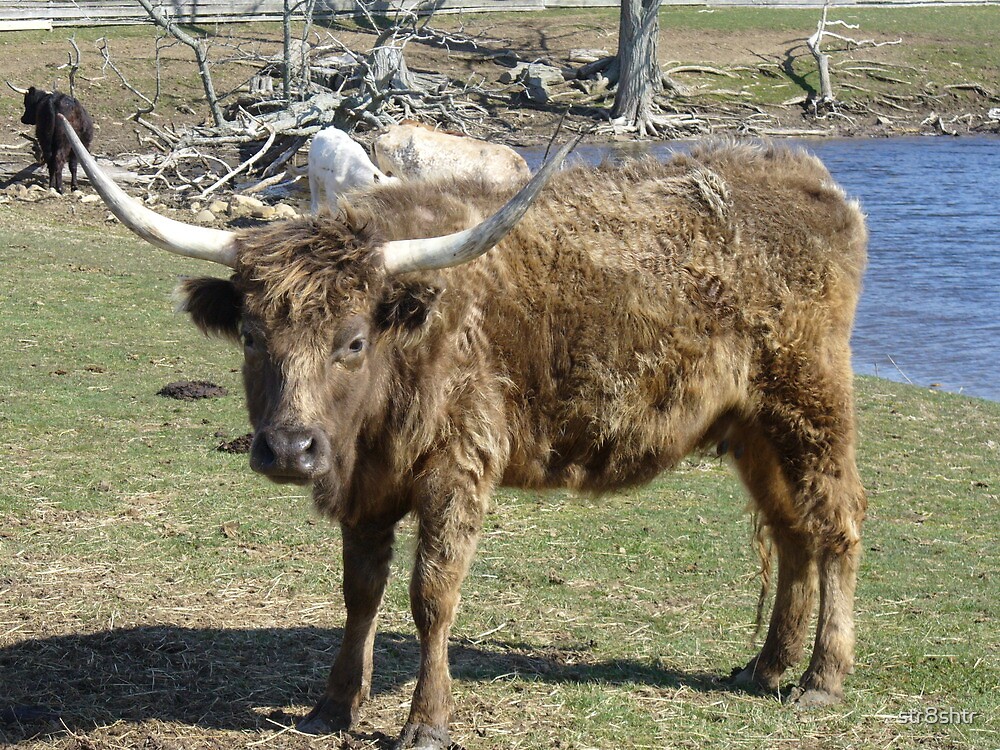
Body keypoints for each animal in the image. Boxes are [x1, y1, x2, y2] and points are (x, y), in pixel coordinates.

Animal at [58, 116, 864, 750]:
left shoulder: (457, 466)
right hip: (754, 427)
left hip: (811, 404)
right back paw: (765, 666)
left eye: (353, 342)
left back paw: (821, 678)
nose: (289, 449)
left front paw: (426, 720)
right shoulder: (367, 488)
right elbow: (360, 590)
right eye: (253, 337)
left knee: (837, 525)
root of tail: (813, 180)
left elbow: (431, 595)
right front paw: (334, 705)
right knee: (792, 530)